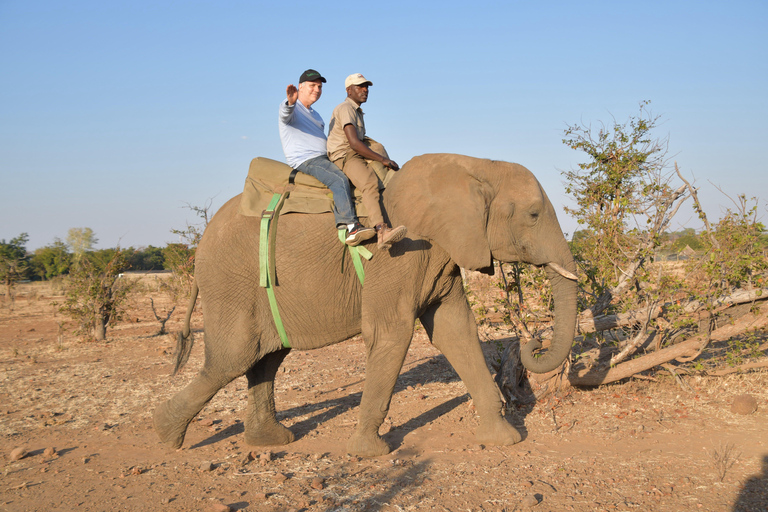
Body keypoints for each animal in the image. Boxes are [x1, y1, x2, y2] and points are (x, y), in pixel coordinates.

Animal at [154, 152, 576, 456]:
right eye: (533, 215)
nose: (534, 342)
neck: (475, 165)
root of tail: (199, 248)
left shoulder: (440, 252)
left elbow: (455, 330)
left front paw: (505, 440)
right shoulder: (401, 253)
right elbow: (392, 332)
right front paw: (369, 453)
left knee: (265, 358)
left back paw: (270, 441)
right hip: (231, 281)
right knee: (234, 357)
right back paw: (166, 435)